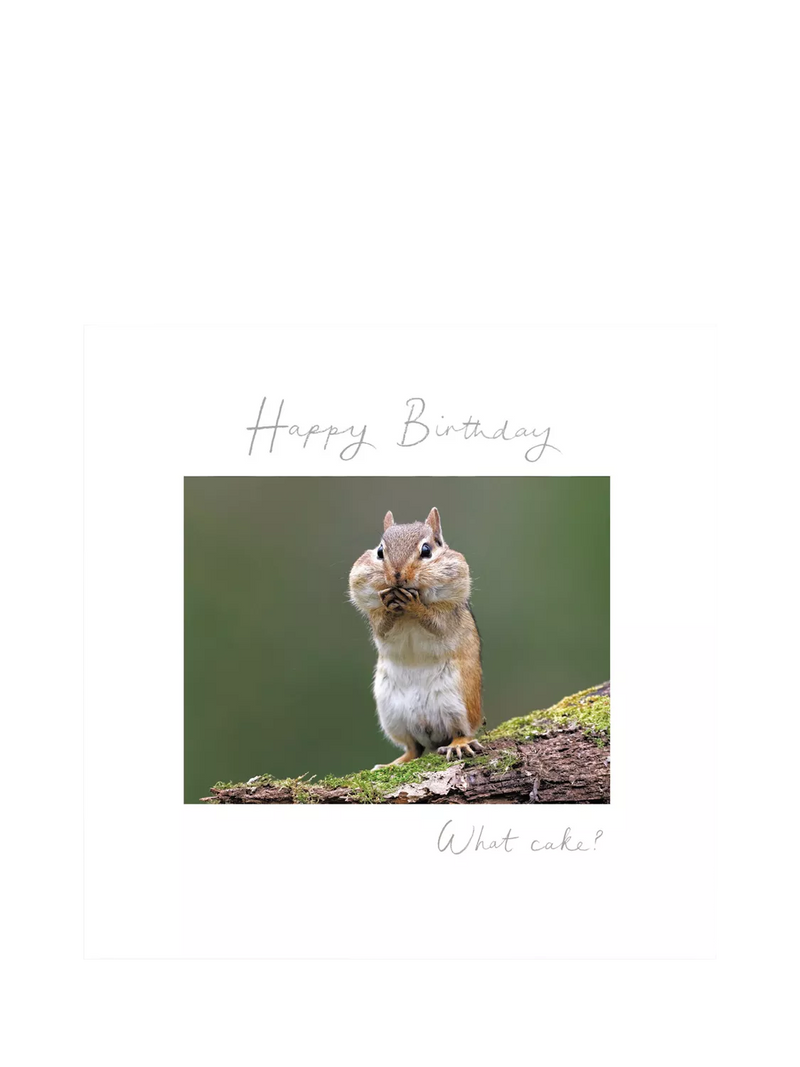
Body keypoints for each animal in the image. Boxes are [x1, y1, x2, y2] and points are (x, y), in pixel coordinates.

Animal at [349, 507, 483, 767]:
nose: (397, 575)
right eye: (380, 551)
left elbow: (436, 623)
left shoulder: (447, 614)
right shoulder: (375, 617)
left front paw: (415, 605)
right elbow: (381, 626)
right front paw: (389, 604)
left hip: (459, 704)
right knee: (413, 748)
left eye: (426, 550)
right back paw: (393, 763)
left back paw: (458, 744)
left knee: (461, 731)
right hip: (392, 715)